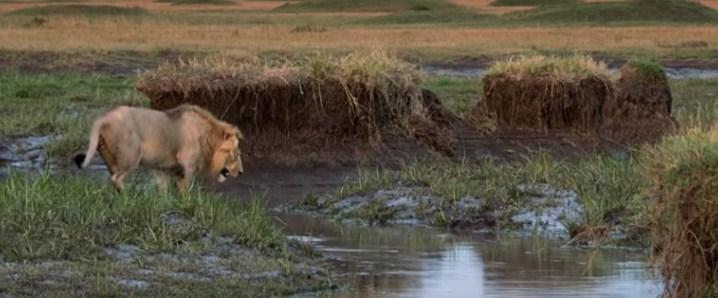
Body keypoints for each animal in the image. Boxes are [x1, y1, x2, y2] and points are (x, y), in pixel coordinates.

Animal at [74, 104, 245, 193]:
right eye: (236, 154)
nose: (241, 172)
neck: (209, 137)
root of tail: (103, 118)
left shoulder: (161, 168)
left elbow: (164, 190)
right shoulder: (189, 164)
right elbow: (186, 188)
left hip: (111, 159)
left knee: (113, 178)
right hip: (132, 157)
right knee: (117, 178)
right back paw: (129, 196)